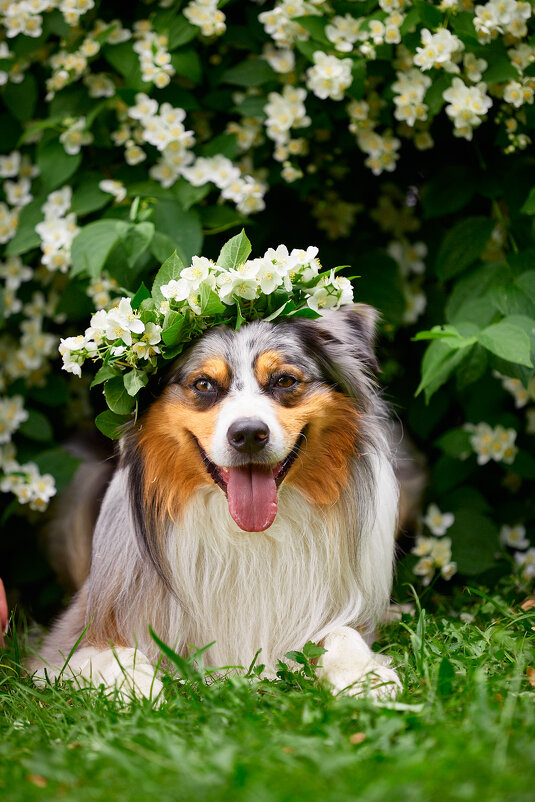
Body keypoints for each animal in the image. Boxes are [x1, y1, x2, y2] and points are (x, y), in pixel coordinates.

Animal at [28, 304, 402, 700]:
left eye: (284, 381)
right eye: (204, 384)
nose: (249, 434)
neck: (249, 536)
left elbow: (342, 633)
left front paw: (364, 676)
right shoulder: (65, 640)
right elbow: (114, 654)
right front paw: (141, 687)